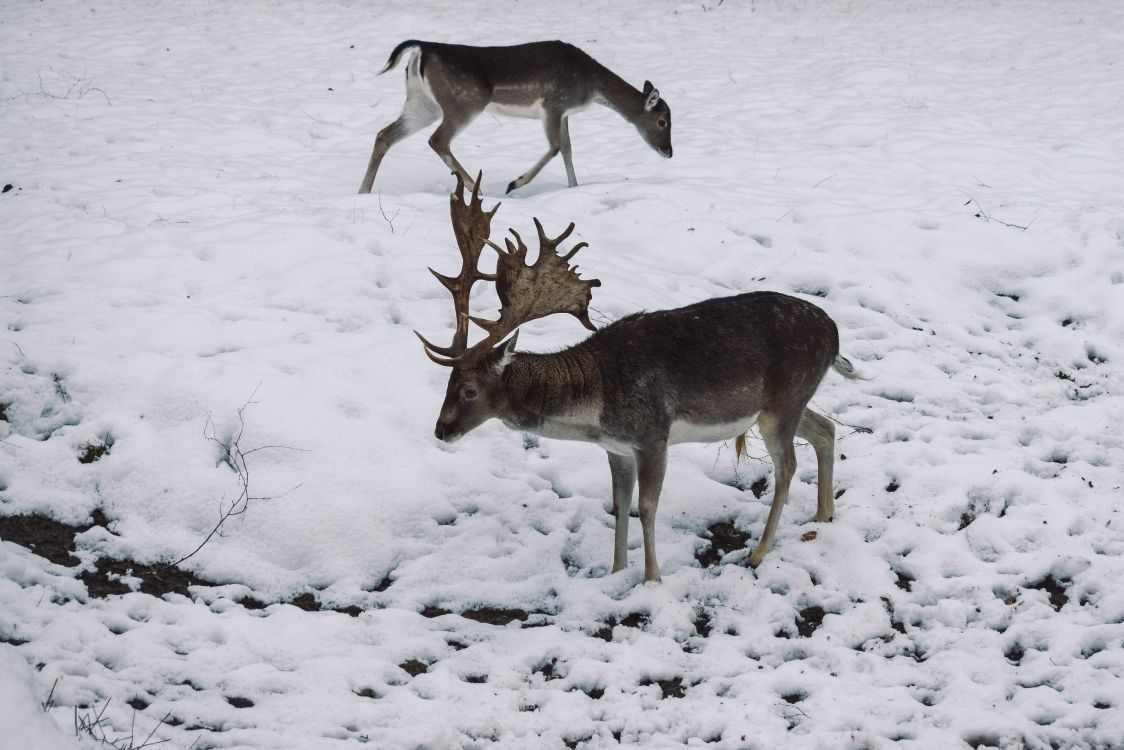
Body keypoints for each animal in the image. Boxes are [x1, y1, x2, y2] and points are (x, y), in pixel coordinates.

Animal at [357, 40, 672, 195]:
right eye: (662, 121)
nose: (668, 152)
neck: (591, 86)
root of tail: (421, 49)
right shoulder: (552, 104)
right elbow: (556, 147)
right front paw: (514, 183)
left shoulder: (564, 112)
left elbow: (568, 149)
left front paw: (574, 189)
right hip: (464, 102)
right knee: (438, 140)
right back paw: (477, 190)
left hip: (422, 103)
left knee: (384, 134)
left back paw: (363, 191)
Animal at [417, 176, 862, 583]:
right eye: (446, 383)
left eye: (469, 390)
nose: (441, 430)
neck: (596, 404)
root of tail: (834, 332)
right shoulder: (616, 447)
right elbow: (620, 504)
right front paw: (616, 573)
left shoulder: (653, 435)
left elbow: (646, 507)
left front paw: (652, 579)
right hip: (785, 401)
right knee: (825, 428)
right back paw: (823, 515)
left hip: (783, 402)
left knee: (787, 465)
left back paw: (759, 553)